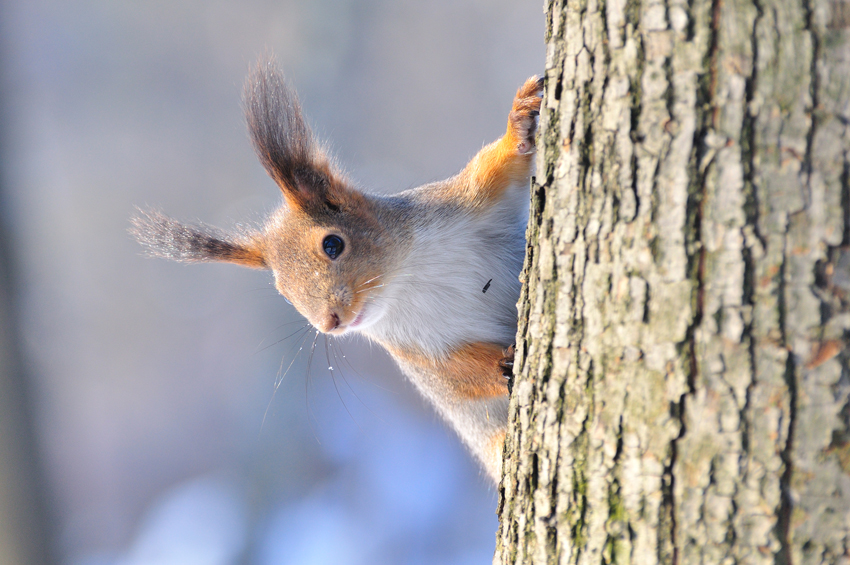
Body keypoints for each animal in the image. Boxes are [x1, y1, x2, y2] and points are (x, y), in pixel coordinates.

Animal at [132, 58, 544, 480]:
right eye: (284, 293)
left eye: (333, 244)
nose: (329, 322)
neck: (406, 280)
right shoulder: (418, 351)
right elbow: (456, 380)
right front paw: (500, 363)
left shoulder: (466, 203)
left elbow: (498, 167)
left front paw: (520, 118)